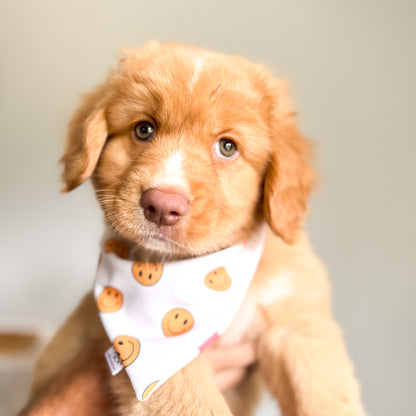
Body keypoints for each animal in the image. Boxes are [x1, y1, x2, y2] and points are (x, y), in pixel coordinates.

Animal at [23, 43, 368, 416]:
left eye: (227, 146)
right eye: (143, 130)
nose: (162, 205)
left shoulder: (297, 325)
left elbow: (325, 395)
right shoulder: (161, 359)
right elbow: (199, 403)